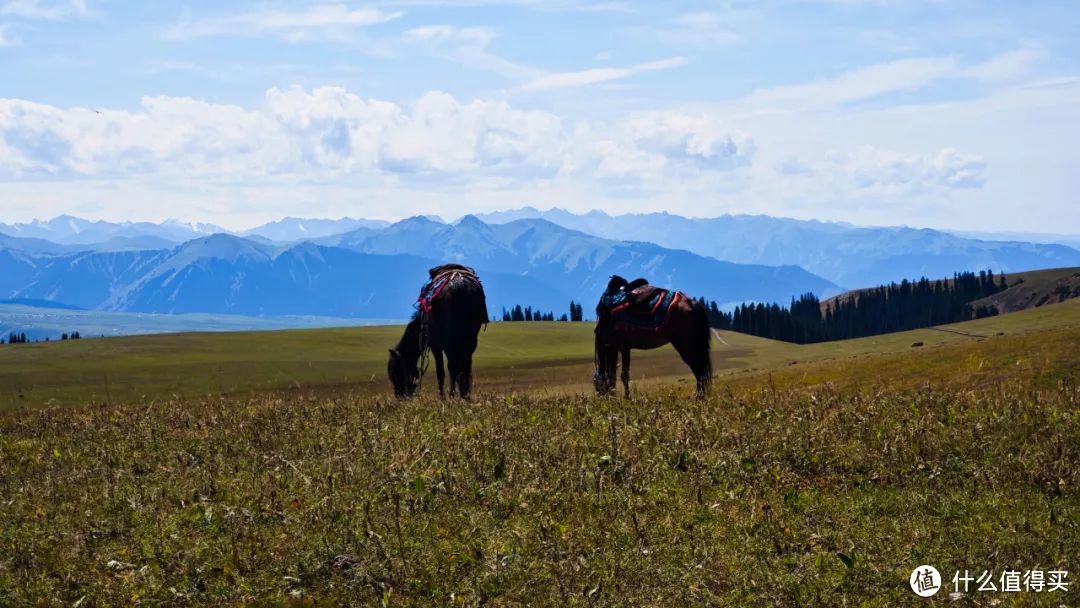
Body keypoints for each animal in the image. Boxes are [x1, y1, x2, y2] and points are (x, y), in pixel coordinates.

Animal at [388, 262, 490, 399]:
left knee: (452, 365)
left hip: (449, 340)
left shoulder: (435, 345)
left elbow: (440, 371)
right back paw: (465, 395)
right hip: (470, 338)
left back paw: (452, 394)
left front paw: (442, 398)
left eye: (395, 372)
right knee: (465, 365)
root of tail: (458, 284)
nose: (399, 395)